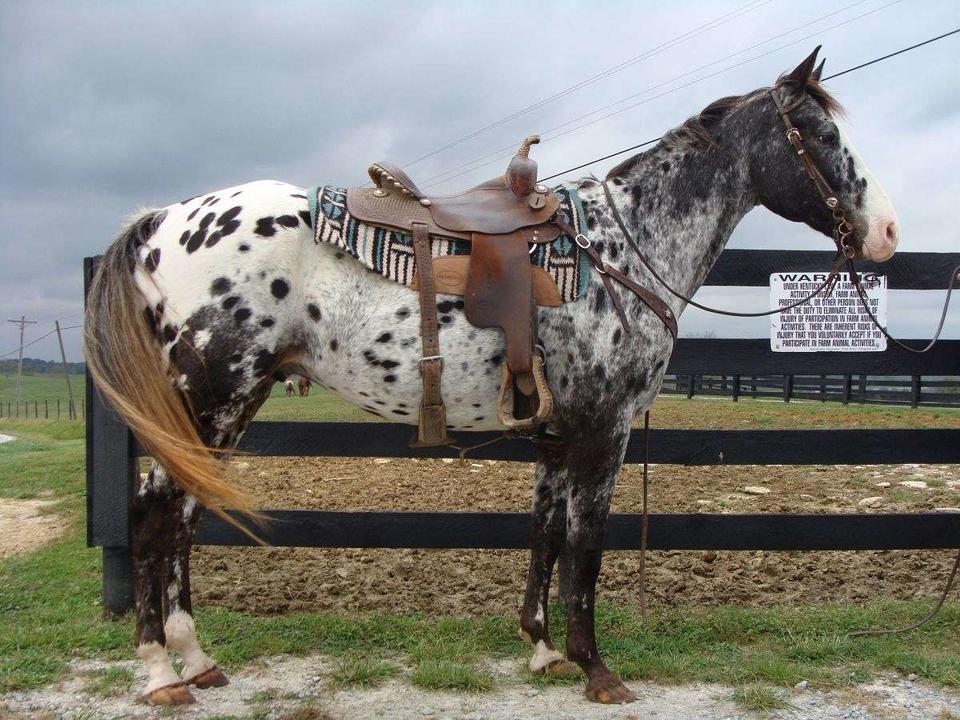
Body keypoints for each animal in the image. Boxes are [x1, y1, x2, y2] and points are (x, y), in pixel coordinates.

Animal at [84, 47, 900, 704]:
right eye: (822, 136)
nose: (888, 232)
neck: (624, 251)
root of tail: (164, 221)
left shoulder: (555, 433)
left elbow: (544, 532)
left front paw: (541, 650)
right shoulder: (602, 431)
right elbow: (586, 546)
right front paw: (596, 669)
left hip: (229, 405)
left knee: (186, 516)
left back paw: (197, 660)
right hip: (212, 395)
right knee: (156, 516)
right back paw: (161, 672)